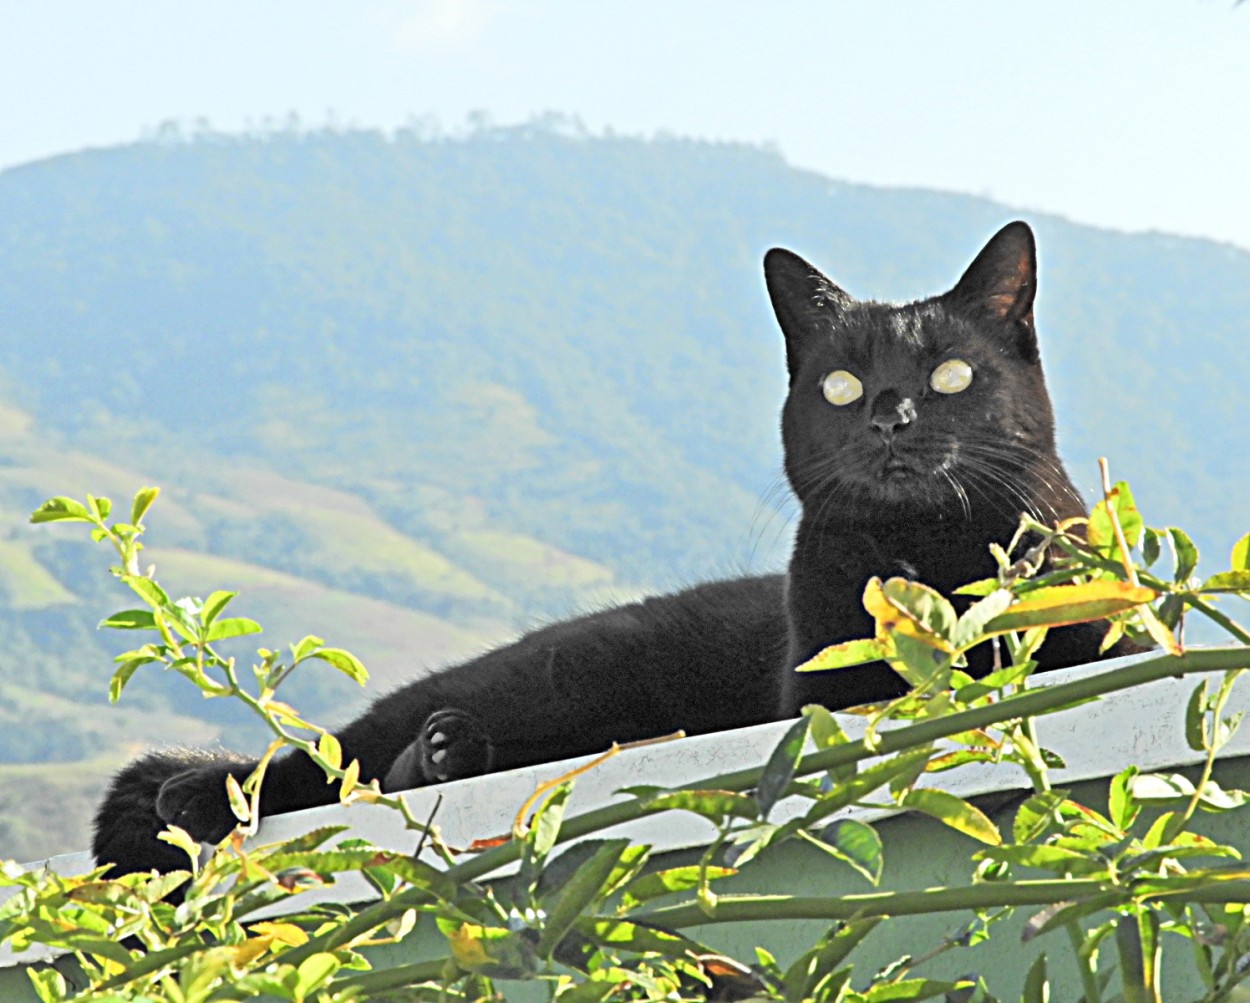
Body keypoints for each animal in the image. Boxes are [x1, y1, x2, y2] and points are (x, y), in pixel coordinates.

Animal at [88, 221, 1125, 875]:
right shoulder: (820, 689)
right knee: (336, 757)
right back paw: (202, 793)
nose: (890, 415)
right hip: (541, 674)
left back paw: (443, 754)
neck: (928, 556)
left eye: (950, 375)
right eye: (840, 384)